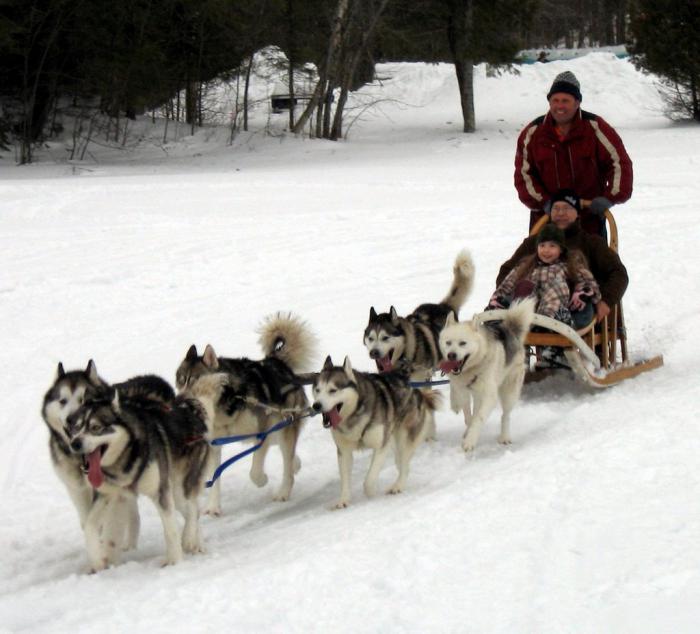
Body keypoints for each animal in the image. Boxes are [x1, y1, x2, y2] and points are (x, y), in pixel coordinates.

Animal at [68, 388, 211, 572]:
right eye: (76, 428)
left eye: (96, 427)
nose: (75, 443)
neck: (125, 457)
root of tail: (189, 411)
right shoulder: (106, 495)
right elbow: (89, 526)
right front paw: (98, 561)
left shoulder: (160, 492)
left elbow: (170, 530)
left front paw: (174, 561)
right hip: (173, 491)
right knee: (191, 510)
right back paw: (196, 542)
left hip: (180, 487)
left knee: (193, 508)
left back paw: (189, 539)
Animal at [176, 312, 316, 512]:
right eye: (180, 381)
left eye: (197, 384)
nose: (179, 400)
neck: (226, 404)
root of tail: (276, 362)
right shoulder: (214, 444)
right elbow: (215, 477)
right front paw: (213, 507)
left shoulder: (262, 432)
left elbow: (255, 470)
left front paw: (262, 480)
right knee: (287, 453)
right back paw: (296, 464)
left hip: (282, 425)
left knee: (287, 464)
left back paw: (283, 491)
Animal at [310, 356, 438, 508]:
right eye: (318, 390)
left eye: (332, 390)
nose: (316, 405)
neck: (354, 413)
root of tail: (407, 381)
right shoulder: (344, 452)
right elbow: (345, 479)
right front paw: (344, 500)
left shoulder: (381, 446)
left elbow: (369, 479)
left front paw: (371, 492)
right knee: (401, 464)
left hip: (404, 439)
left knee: (404, 464)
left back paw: (397, 486)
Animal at [438, 298, 536, 452]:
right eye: (448, 343)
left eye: (463, 343)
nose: (451, 355)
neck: (473, 367)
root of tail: (509, 331)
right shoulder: (463, 390)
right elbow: (468, 414)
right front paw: (466, 428)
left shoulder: (489, 396)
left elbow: (479, 418)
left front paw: (470, 441)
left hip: (509, 392)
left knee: (505, 415)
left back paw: (504, 437)